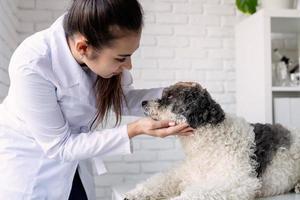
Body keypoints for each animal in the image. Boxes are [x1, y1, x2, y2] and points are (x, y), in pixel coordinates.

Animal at [123, 82, 300, 199]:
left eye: (170, 96)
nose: (143, 102)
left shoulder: (235, 181)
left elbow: (195, 193)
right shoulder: (182, 173)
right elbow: (158, 181)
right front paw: (135, 193)